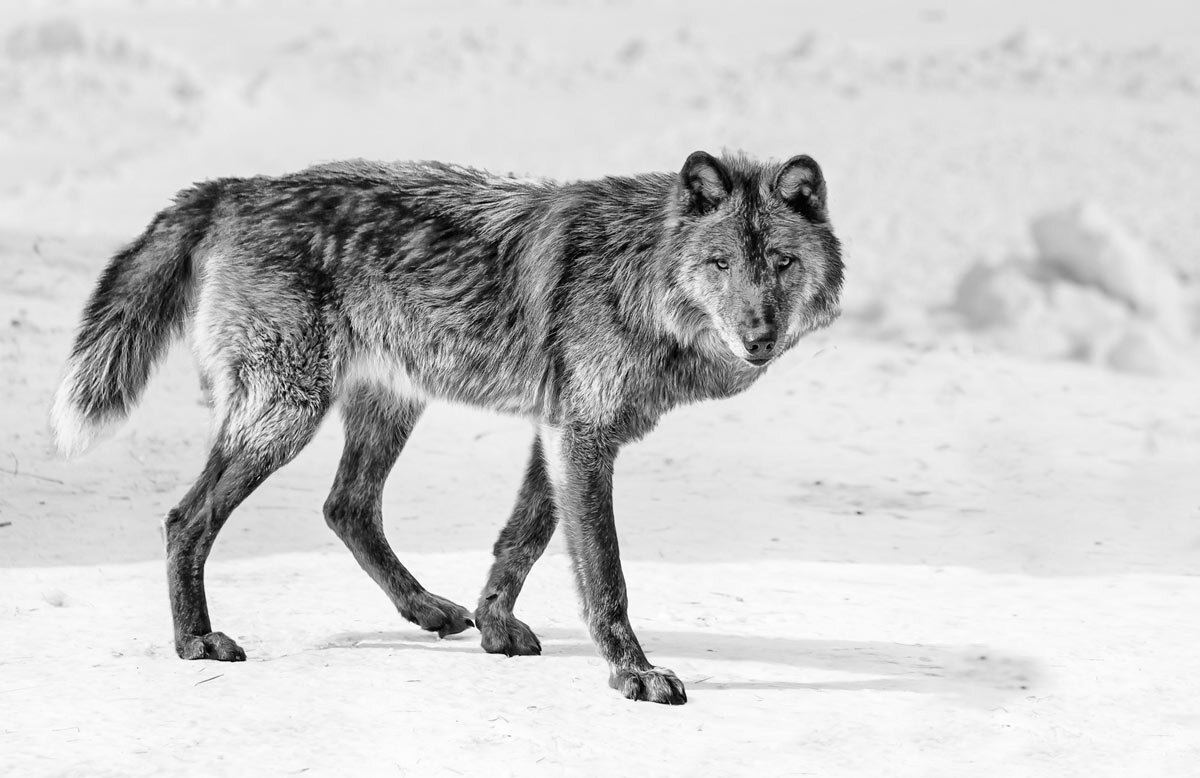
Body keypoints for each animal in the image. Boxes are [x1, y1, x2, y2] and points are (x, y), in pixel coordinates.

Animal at [50, 150, 843, 704]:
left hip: (385, 409)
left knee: (346, 507)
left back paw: (427, 610)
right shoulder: (582, 437)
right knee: (186, 520)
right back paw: (195, 641)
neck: (637, 275)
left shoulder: (559, 434)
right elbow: (605, 577)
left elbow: (523, 540)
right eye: (719, 264)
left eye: (780, 262)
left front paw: (495, 628)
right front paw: (633, 674)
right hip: (286, 415)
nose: (759, 337)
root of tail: (237, 186)